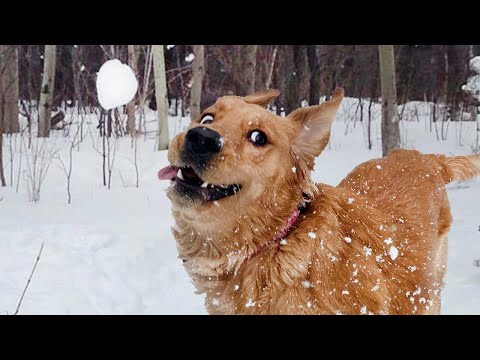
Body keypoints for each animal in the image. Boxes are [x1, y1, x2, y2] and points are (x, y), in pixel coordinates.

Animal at [158, 88, 480, 314]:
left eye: (258, 137)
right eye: (207, 118)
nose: (200, 137)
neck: (274, 243)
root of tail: (428, 158)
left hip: (428, 295)